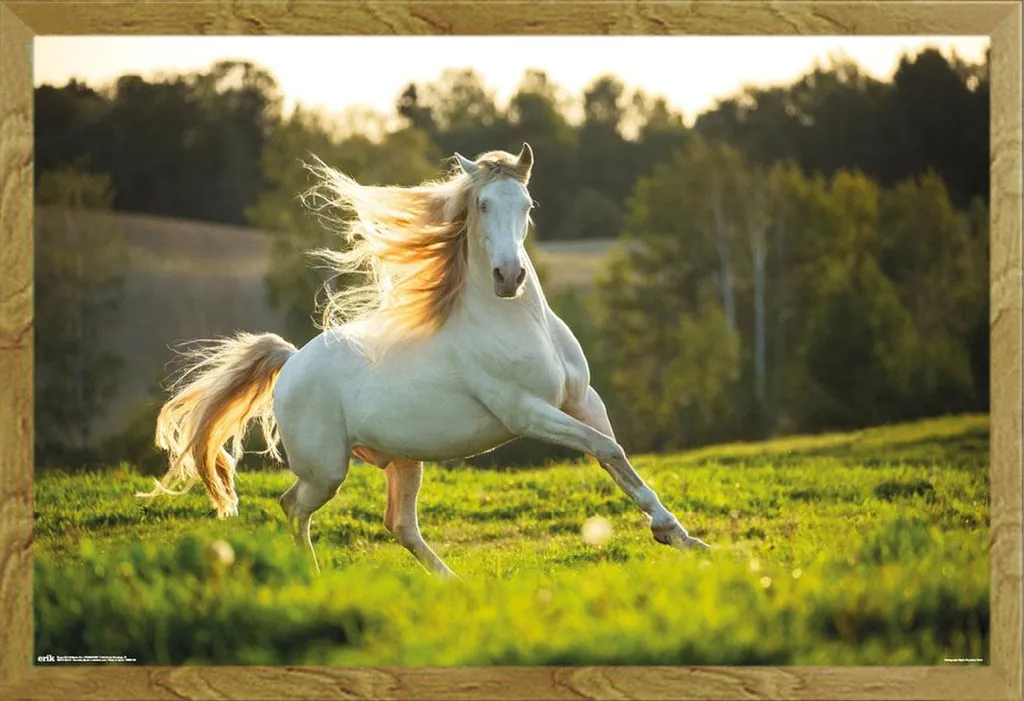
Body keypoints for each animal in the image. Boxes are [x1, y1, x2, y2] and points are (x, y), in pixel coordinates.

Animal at [140, 143, 710, 578]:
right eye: (482, 205)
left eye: (527, 203)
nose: (509, 277)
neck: (517, 324)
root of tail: (292, 359)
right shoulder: (527, 412)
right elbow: (605, 449)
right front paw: (671, 535)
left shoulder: (581, 400)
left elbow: (617, 458)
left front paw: (684, 538)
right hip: (327, 470)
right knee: (293, 506)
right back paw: (315, 577)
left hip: (402, 460)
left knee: (399, 524)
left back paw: (450, 582)